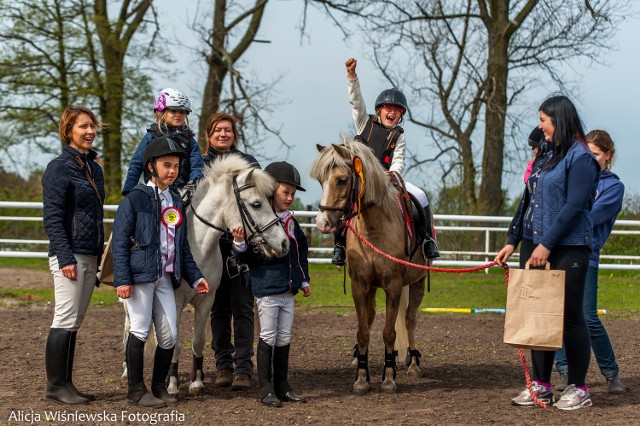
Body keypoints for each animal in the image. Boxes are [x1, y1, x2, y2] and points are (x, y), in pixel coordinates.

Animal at [120, 155, 290, 398]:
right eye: (256, 204)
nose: (283, 243)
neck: (197, 246)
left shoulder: (206, 300)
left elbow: (198, 341)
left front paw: (197, 382)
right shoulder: (176, 302)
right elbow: (176, 343)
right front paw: (172, 384)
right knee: (128, 328)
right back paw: (127, 371)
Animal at [308, 138, 424, 394]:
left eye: (342, 180)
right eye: (320, 180)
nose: (322, 223)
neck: (373, 229)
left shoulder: (393, 286)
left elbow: (389, 333)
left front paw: (388, 379)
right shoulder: (360, 286)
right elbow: (363, 331)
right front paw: (362, 379)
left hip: (418, 282)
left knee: (410, 319)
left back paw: (413, 364)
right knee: (371, 319)